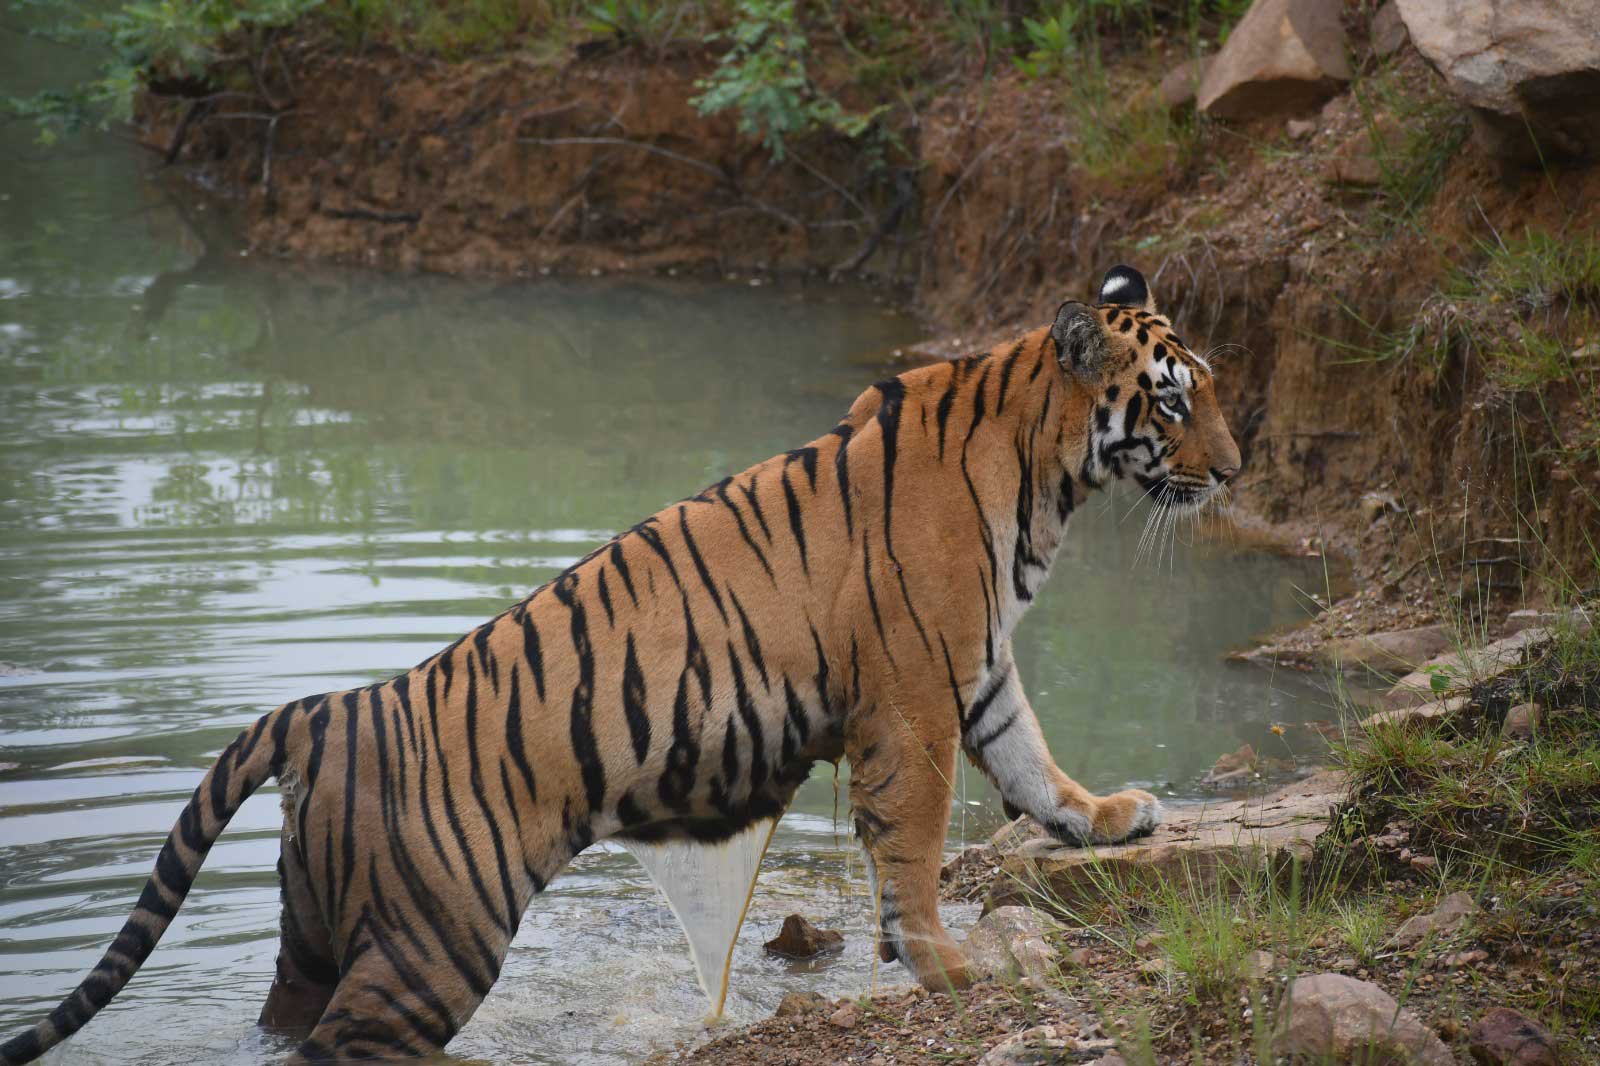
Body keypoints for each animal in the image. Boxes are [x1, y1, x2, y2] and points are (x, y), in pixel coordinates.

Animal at [0, 263, 1241, 1064]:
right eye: (1173, 398)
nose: (1234, 469)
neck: (1045, 475)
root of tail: (329, 708)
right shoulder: (914, 696)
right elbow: (919, 848)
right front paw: (947, 968)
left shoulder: (973, 670)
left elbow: (1032, 763)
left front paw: (1109, 817)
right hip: (431, 941)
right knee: (350, 1047)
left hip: (309, 939)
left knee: (284, 1023)